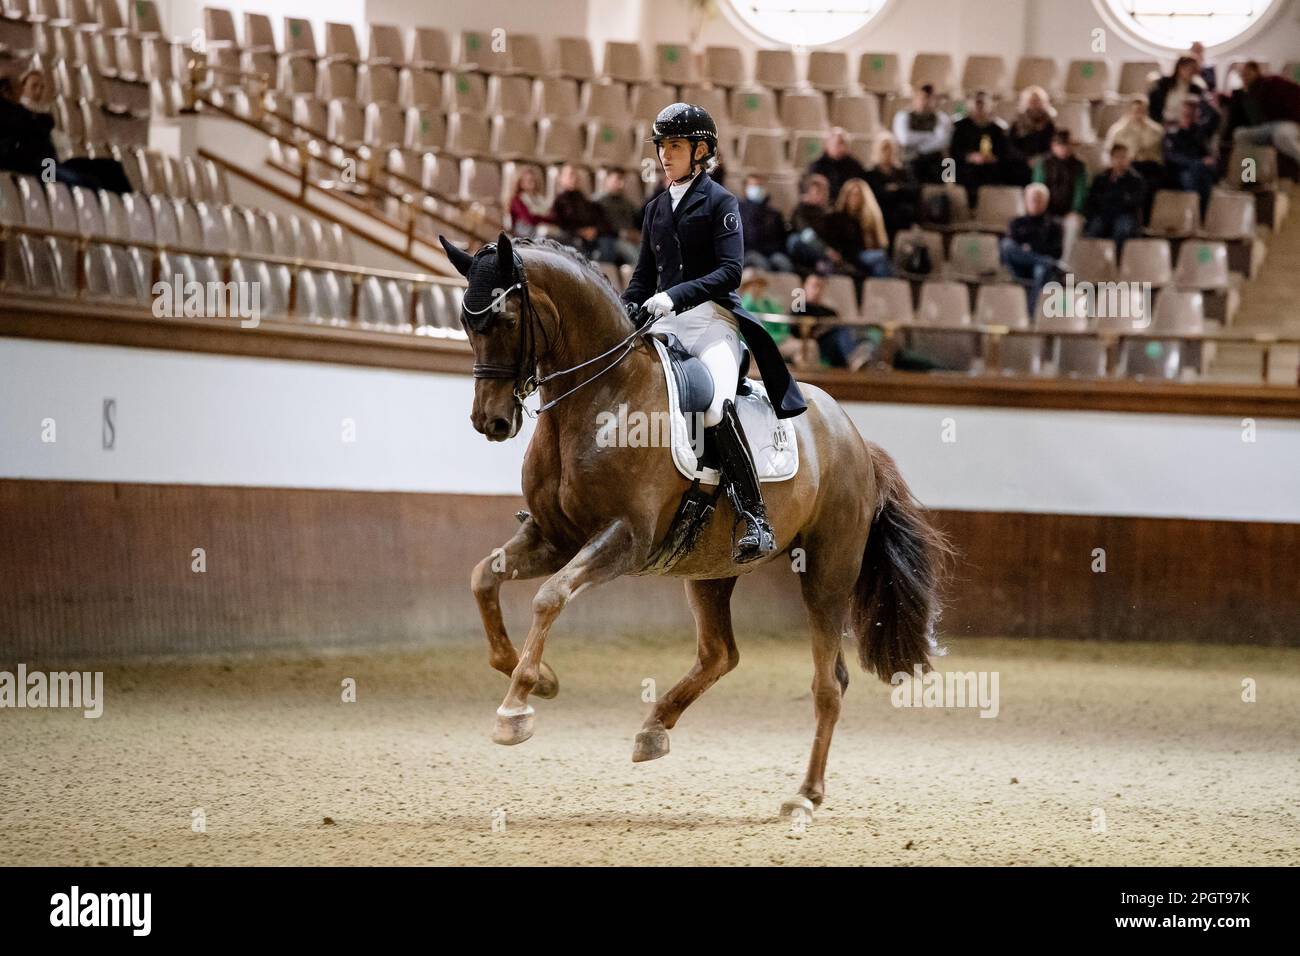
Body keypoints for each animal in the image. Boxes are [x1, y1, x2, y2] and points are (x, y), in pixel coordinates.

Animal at [441, 230, 951, 816]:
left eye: (503, 319)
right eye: (465, 322)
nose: (490, 422)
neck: (602, 397)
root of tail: (854, 438)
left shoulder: (624, 539)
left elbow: (549, 597)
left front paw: (517, 708)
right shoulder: (552, 537)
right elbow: (483, 578)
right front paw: (540, 680)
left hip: (827, 571)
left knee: (829, 682)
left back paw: (805, 795)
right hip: (711, 569)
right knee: (720, 654)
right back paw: (654, 728)